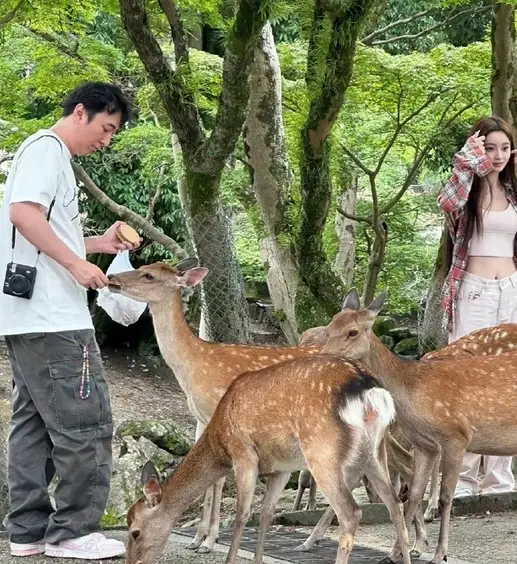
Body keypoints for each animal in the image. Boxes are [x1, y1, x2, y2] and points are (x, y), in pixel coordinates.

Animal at [125, 352, 412, 564]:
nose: (132, 562)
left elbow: (242, 515)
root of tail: (371, 392)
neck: (220, 442)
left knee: (351, 512)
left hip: (322, 451)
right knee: (395, 504)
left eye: (135, 531)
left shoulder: (243, 455)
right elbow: (266, 514)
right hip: (374, 452)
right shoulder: (281, 468)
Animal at [316, 290, 516, 564]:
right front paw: (395, 553)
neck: (413, 391)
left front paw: (439, 553)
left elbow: (445, 498)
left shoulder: (456, 436)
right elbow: (412, 496)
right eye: (329, 328)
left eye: (353, 332)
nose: (323, 356)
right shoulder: (425, 445)